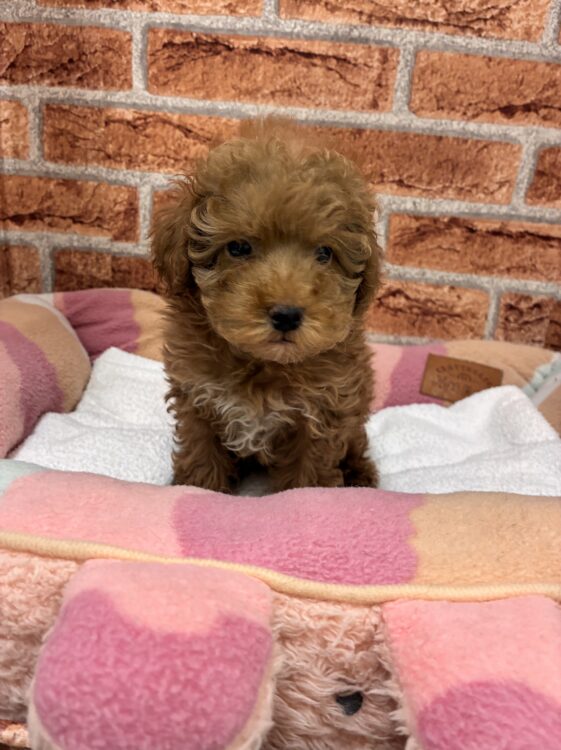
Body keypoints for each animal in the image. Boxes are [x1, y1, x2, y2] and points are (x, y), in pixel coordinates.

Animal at [152, 120, 380, 493]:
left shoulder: (321, 412)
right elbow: (202, 458)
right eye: (238, 248)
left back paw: (360, 475)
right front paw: (199, 490)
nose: (286, 315)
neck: (261, 364)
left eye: (324, 253)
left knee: (356, 442)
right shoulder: (197, 400)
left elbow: (308, 476)